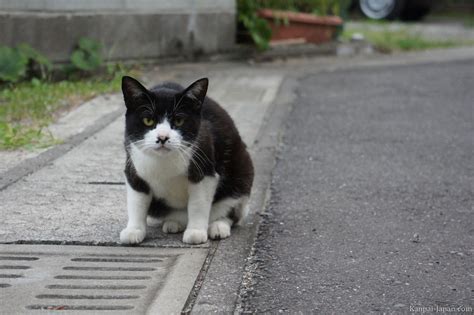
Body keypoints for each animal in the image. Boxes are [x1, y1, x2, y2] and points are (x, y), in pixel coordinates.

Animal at [119, 76, 252, 247]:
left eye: (179, 120)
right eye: (148, 120)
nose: (162, 137)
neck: (164, 161)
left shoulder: (204, 169)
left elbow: (198, 203)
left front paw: (195, 232)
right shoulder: (133, 165)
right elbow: (136, 200)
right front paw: (133, 230)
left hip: (242, 172)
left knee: (231, 210)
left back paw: (218, 225)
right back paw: (173, 223)